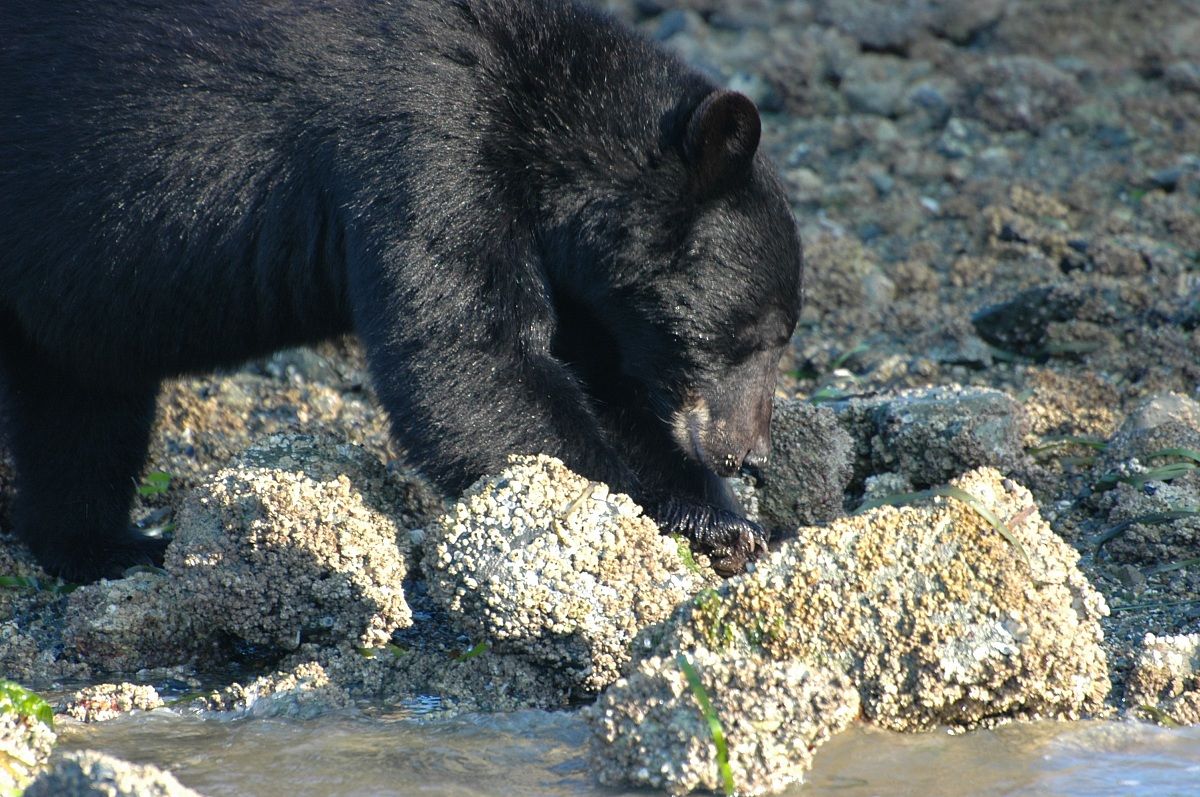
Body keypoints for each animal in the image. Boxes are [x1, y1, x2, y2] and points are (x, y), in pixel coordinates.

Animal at [0, 0, 803, 582]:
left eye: (779, 336)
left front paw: (728, 519)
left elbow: (603, 378)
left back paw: (107, 547)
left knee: (79, 408)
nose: (748, 453)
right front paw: (669, 522)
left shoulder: (573, 270)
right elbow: (468, 360)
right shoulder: (427, 142)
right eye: (751, 334)